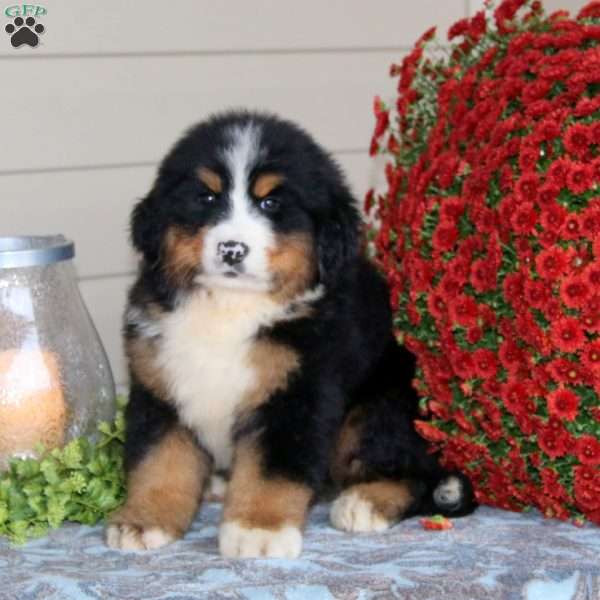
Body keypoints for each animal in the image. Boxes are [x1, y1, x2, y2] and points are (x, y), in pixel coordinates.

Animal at [105, 109, 476, 556]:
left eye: (270, 203)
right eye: (208, 198)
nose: (232, 249)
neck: (230, 306)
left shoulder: (297, 392)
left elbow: (272, 469)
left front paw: (256, 529)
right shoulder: (160, 384)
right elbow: (159, 460)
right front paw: (144, 520)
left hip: (378, 407)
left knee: (412, 472)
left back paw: (365, 503)